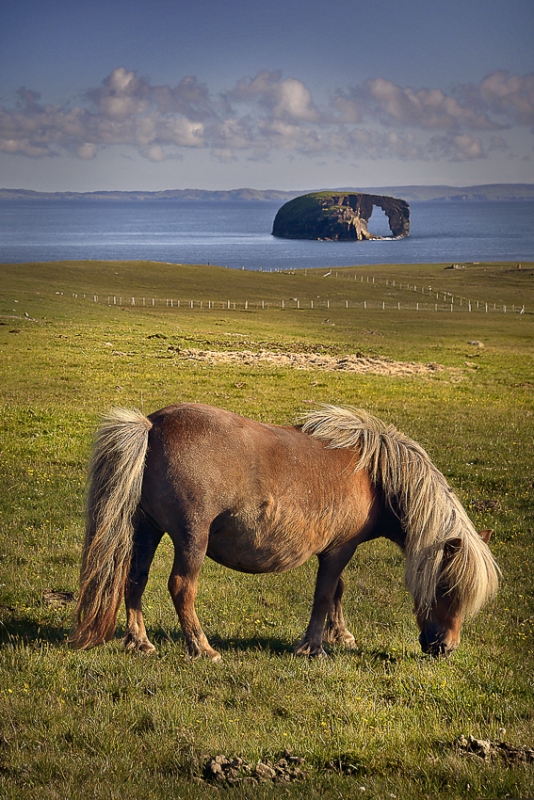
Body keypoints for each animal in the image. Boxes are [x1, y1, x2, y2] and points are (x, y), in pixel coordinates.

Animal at [70, 404, 499, 659]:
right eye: (446, 587)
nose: (445, 647)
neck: (373, 475)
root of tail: (152, 424)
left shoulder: (334, 550)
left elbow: (337, 591)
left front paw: (340, 636)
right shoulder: (340, 549)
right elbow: (324, 595)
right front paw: (312, 647)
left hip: (147, 530)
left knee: (135, 579)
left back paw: (140, 641)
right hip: (192, 538)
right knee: (181, 587)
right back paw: (203, 648)